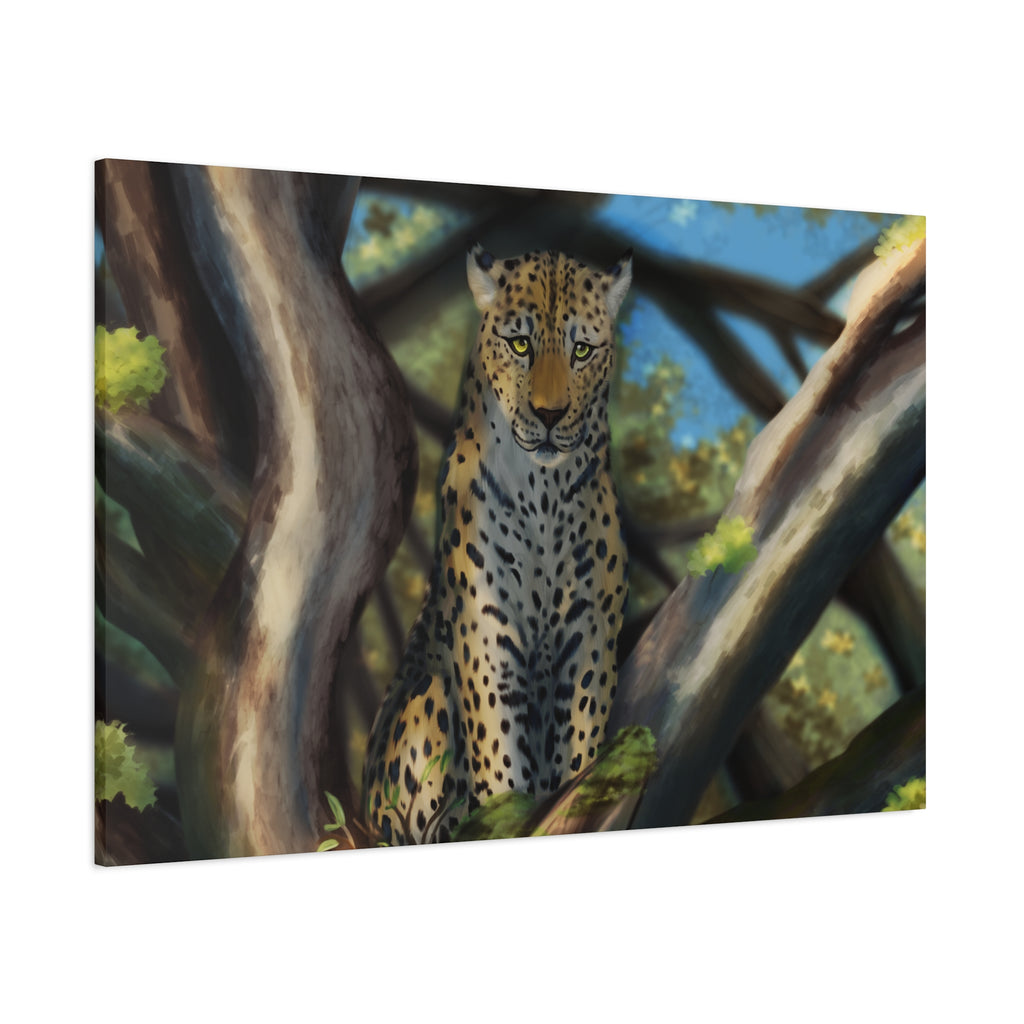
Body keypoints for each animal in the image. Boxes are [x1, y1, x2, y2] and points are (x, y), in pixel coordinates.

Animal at [362, 243, 632, 844]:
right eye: (520, 344)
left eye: (582, 350)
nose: (551, 415)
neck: (544, 493)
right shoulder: (486, 631)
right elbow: (498, 750)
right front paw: (510, 811)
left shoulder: (590, 630)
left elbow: (581, 739)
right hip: (426, 703)